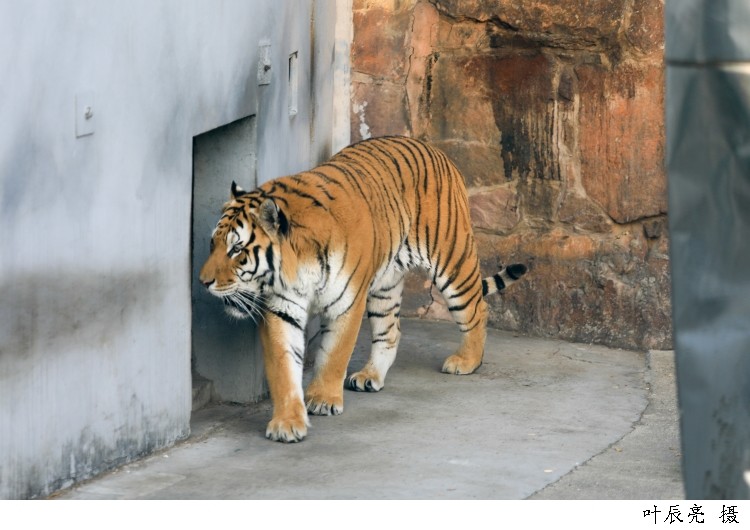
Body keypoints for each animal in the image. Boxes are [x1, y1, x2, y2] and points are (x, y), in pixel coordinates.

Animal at [200, 134, 528, 440]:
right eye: (213, 243)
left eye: (237, 250)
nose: (203, 282)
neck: (294, 268)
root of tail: (433, 148)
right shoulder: (282, 309)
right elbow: (283, 367)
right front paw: (287, 422)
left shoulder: (347, 302)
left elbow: (335, 354)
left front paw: (322, 399)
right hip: (386, 286)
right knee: (391, 331)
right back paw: (371, 375)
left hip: (452, 260)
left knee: (476, 308)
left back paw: (467, 361)